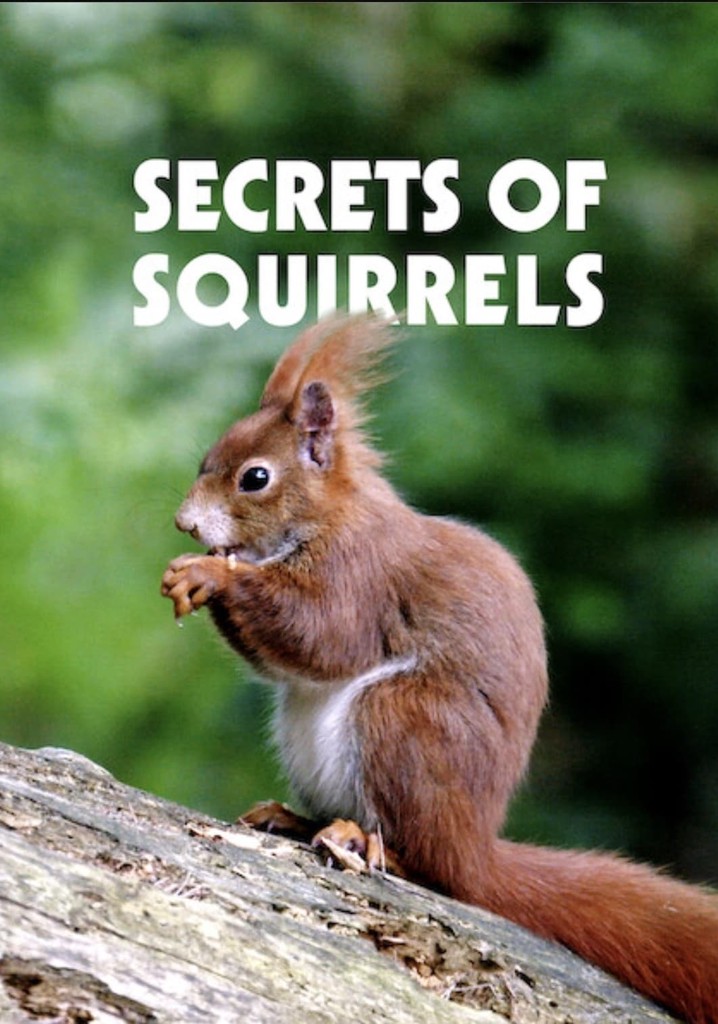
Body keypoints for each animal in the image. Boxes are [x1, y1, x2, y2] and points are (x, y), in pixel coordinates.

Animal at [161, 314, 718, 1024]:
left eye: (254, 478)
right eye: (208, 458)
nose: (184, 523)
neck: (327, 516)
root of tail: (474, 849)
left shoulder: (361, 574)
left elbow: (321, 635)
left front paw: (212, 573)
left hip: (403, 723)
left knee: (427, 865)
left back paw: (366, 842)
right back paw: (298, 819)